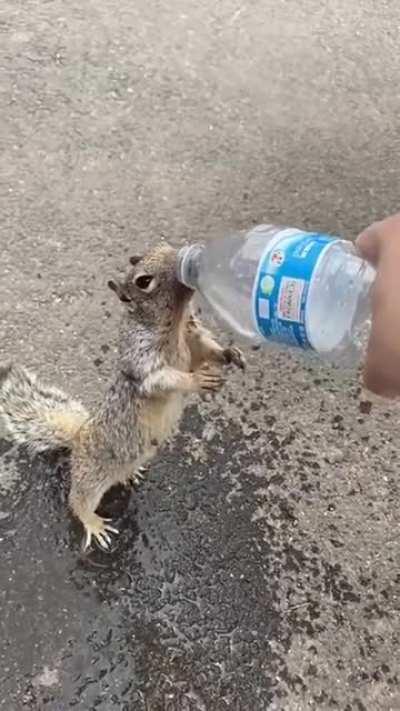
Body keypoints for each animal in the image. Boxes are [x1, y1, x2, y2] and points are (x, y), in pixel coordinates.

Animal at [0, 243, 245, 550]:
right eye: (143, 281)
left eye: (164, 246)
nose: (183, 258)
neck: (175, 325)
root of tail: (78, 438)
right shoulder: (142, 359)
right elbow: (163, 379)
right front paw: (197, 380)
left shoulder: (193, 337)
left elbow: (206, 350)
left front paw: (229, 353)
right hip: (91, 476)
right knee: (77, 501)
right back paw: (93, 524)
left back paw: (130, 474)